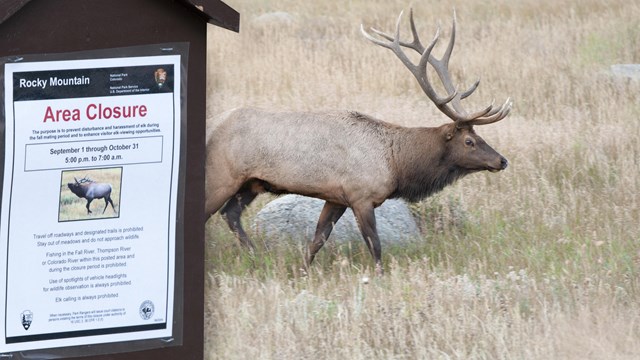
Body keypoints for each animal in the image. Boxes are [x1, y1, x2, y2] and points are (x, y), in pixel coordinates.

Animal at [208, 9, 512, 276]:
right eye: (470, 141)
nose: (502, 160)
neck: (396, 163)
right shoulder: (361, 195)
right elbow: (374, 244)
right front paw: (380, 277)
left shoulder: (336, 197)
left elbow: (318, 238)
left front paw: (302, 271)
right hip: (223, 176)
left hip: (250, 183)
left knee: (230, 214)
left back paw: (255, 255)